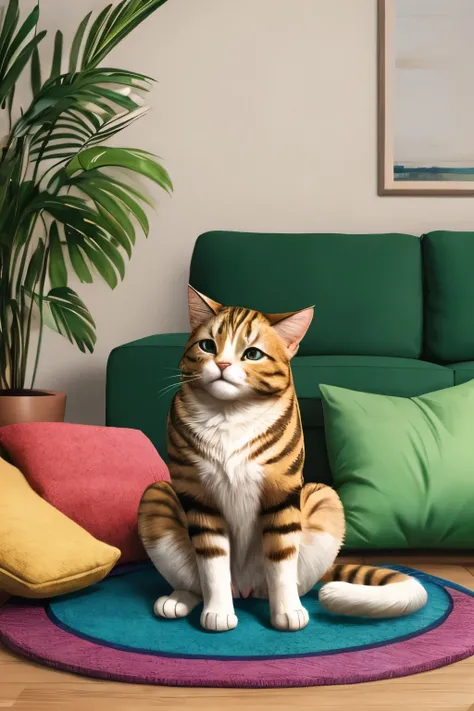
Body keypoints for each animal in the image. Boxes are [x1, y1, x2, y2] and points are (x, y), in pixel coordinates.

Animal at [136, 286, 426, 632]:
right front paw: (218, 613)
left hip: (325, 498)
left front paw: (287, 614)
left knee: (292, 580)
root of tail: (244, 589)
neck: (228, 414)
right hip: (157, 496)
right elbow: (212, 564)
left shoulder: (282, 494)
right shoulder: (199, 497)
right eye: (207, 346)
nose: (222, 364)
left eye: (252, 354)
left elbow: (282, 561)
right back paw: (177, 600)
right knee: (193, 581)